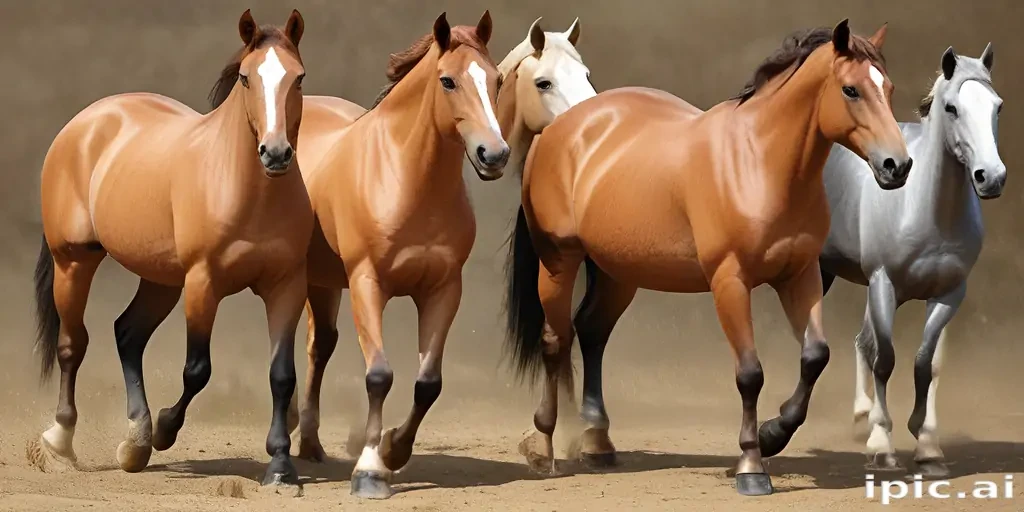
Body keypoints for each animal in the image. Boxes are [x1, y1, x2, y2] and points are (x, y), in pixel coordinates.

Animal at [28, 10, 312, 487]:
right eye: (246, 78)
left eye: (299, 78)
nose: (275, 154)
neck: (250, 193)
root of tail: (87, 122)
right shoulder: (203, 283)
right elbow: (197, 370)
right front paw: (164, 429)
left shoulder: (286, 287)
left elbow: (282, 375)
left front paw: (279, 466)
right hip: (74, 260)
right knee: (72, 344)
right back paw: (62, 440)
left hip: (160, 279)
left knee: (127, 334)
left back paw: (134, 442)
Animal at [286, 11, 508, 499]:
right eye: (447, 80)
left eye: (498, 80)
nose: (495, 154)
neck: (406, 179)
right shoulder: (368, 285)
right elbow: (379, 376)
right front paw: (370, 472)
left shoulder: (443, 290)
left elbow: (428, 384)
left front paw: (393, 449)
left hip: (323, 282)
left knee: (319, 347)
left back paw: (309, 442)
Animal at [504, 20, 911, 496]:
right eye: (851, 90)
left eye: (888, 87)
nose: (897, 165)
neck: (758, 163)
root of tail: (558, 129)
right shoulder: (729, 282)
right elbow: (750, 374)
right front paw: (751, 467)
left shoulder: (800, 276)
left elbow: (815, 357)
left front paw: (773, 434)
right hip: (559, 261)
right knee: (555, 341)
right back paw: (544, 447)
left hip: (618, 272)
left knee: (592, 331)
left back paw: (598, 442)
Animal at [819, 44, 1003, 478]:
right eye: (952, 108)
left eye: (997, 107)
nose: (991, 177)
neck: (925, 209)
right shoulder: (884, 285)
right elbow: (885, 360)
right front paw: (883, 446)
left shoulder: (949, 295)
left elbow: (926, 364)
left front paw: (928, 447)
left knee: (863, 341)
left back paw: (862, 415)